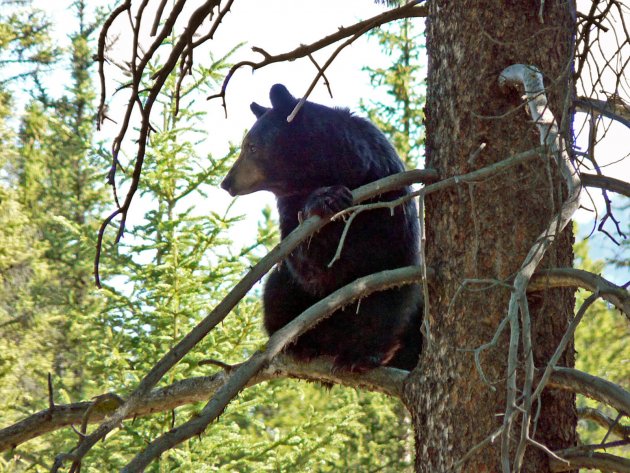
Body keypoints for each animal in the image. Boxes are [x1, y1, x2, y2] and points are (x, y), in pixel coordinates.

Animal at [223, 85, 424, 372]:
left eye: (251, 146)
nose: (226, 182)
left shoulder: (386, 195)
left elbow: (380, 271)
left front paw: (363, 354)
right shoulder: (289, 207)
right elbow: (311, 266)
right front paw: (326, 199)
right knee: (278, 287)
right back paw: (300, 343)